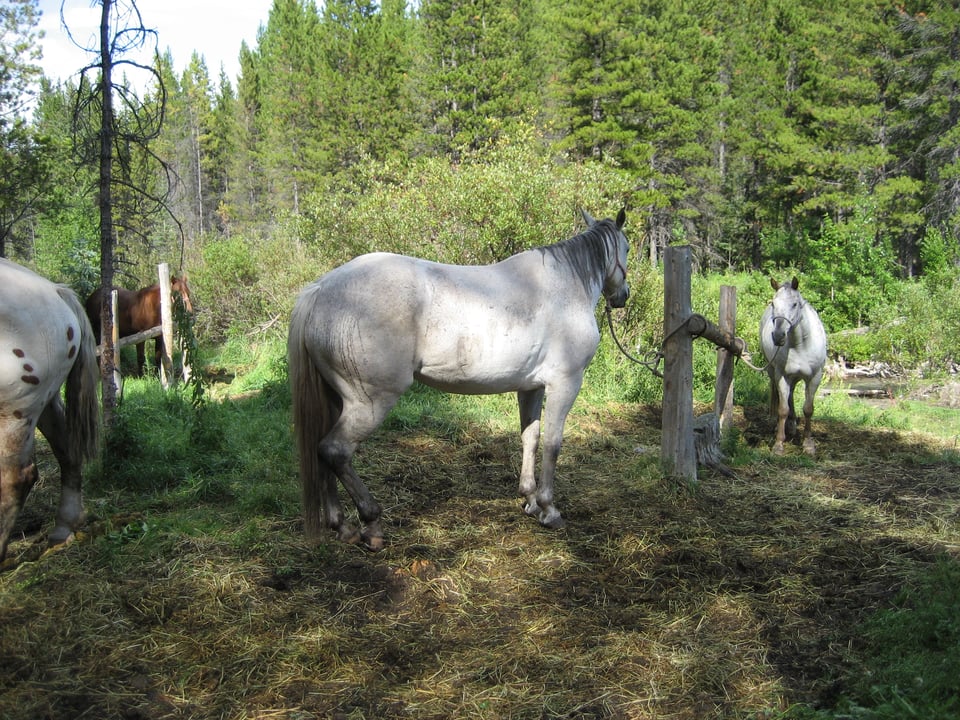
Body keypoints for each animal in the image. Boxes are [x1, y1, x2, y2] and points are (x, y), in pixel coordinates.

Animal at [0, 259, 101, 562]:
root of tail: (56, 291)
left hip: (18, 409)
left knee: (16, 477)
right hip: (46, 401)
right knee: (68, 451)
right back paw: (64, 527)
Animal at [288, 208, 630, 550]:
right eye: (626, 248)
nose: (622, 297)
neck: (564, 288)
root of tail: (320, 290)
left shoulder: (531, 387)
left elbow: (529, 438)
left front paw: (530, 500)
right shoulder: (565, 383)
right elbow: (553, 444)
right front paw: (549, 509)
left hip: (336, 400)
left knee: (322, 453)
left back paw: (342, 525)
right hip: (370, 403)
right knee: (335, 451)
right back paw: (371, 524)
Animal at [759, 277, 828, 456]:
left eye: (795, 304)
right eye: (773, 303)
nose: (778, 336)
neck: (800, 345)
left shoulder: (814, 377)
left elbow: (808, 409)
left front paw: (808, 444)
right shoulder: (782, 376)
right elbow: (783, 409)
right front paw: (778, 445)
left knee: (791, 394)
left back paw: (792, 425)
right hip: (774, 372)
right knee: (782, 396)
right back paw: (781, 424)